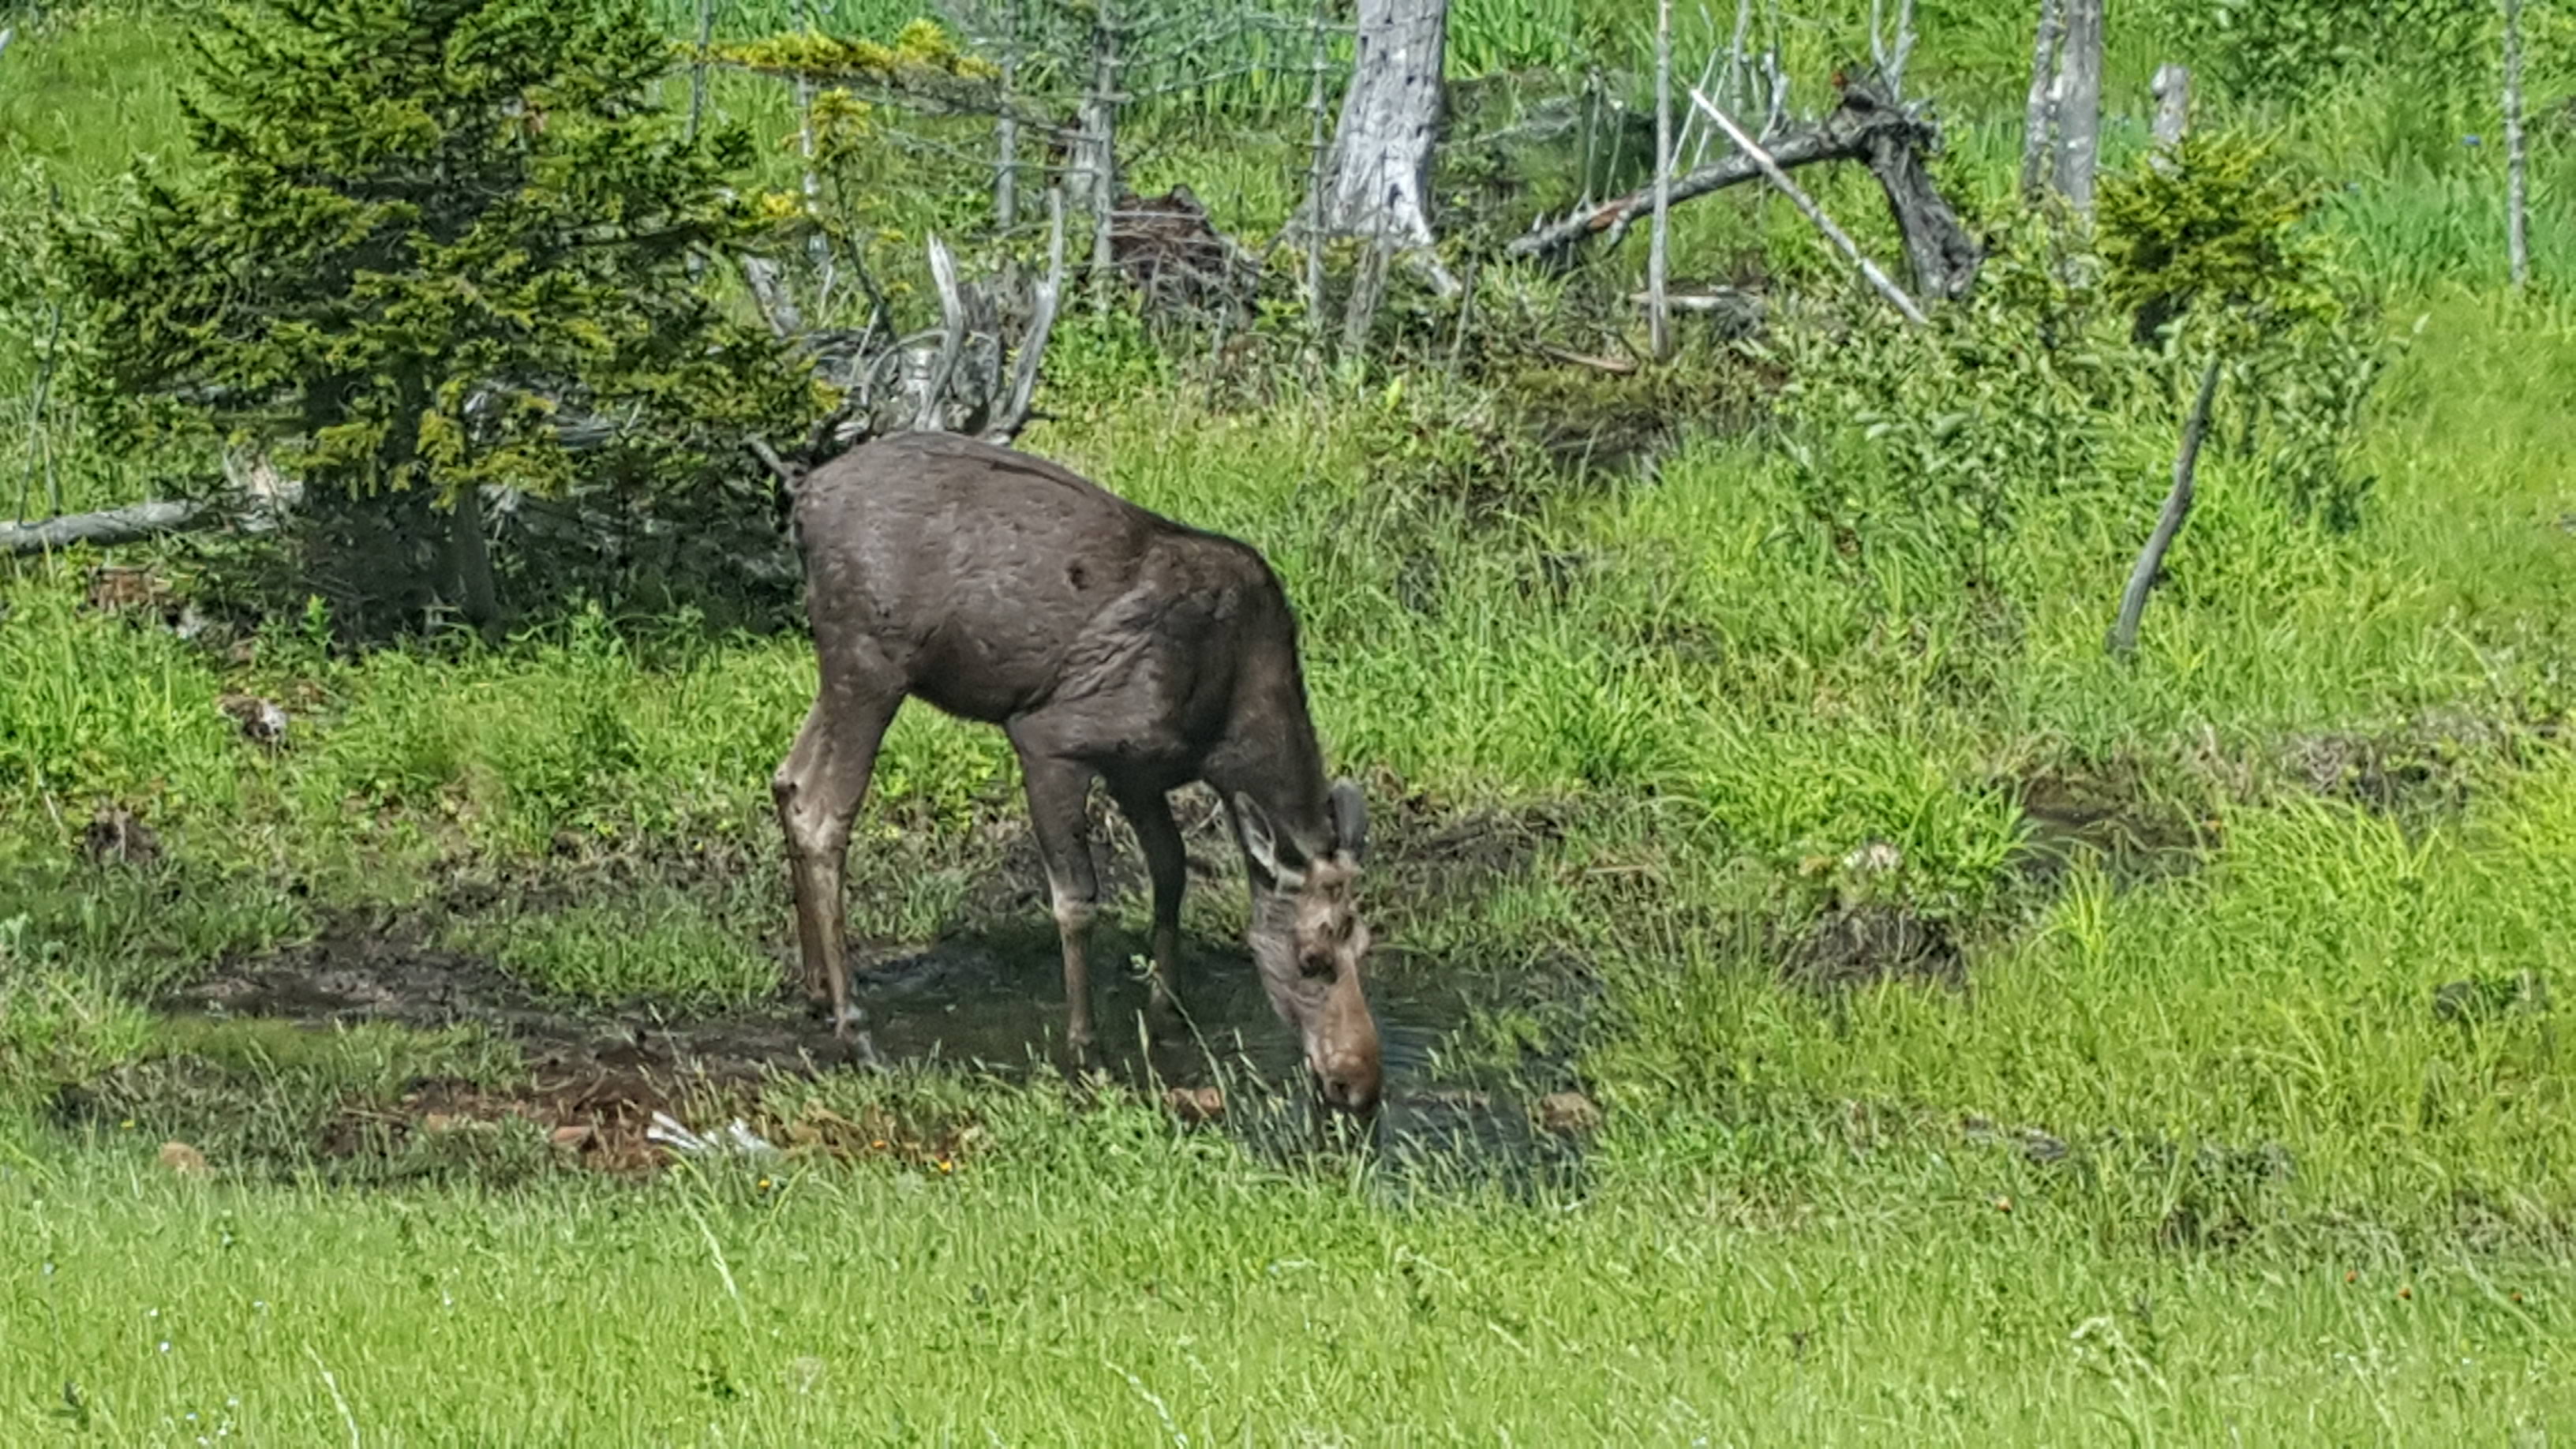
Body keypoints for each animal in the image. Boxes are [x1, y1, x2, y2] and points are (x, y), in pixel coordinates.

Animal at [767, 428, 1391, 1103]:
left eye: (1366, 945)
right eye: (1311, 959)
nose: (1359, 1084)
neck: (1223, 737)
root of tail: (804, 501)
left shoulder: (1138, 771)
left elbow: (1170, 868)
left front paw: (1168, 1010)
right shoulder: (1053, 738)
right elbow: (1077, 899)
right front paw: (1085, 1046)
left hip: (846, 674)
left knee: (787, 778)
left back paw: (816, 989)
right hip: (870, 663)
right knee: (823, 811)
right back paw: (855, 1029)